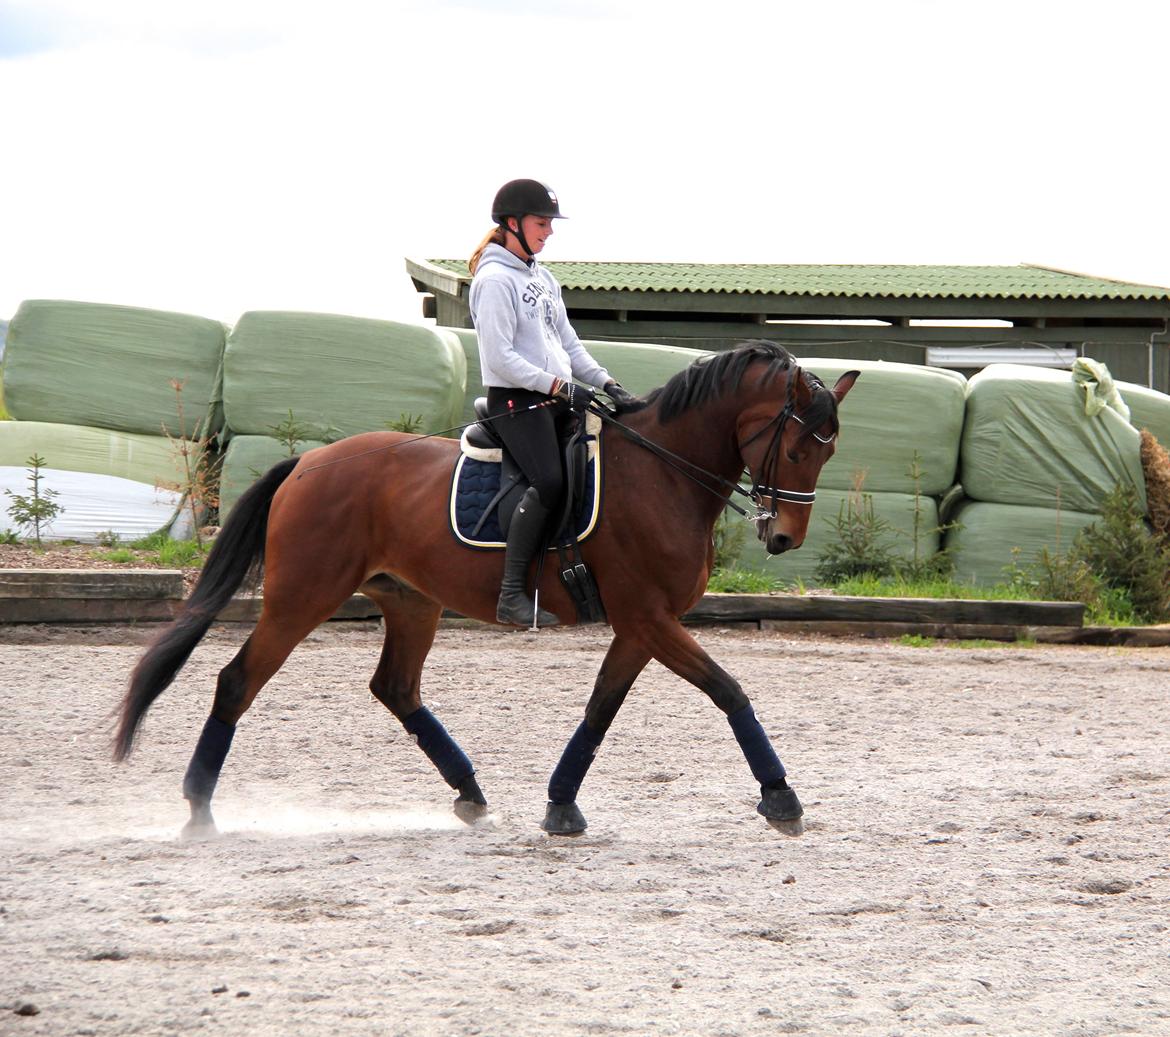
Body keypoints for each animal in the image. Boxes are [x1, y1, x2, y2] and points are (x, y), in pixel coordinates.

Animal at [111, 344, 861, 842]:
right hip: (302, 598)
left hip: (412, 601)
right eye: (799, 449)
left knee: (396, 688)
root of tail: (308, 462)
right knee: (238, 682)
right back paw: (199, 810)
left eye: (829, 452)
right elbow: (728, 690)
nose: (783, 537)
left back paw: (470, 793)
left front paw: (560, 805)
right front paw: (781, 796)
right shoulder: (649, 617)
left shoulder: (640, 624)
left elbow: (600, 710)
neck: (663, 474)